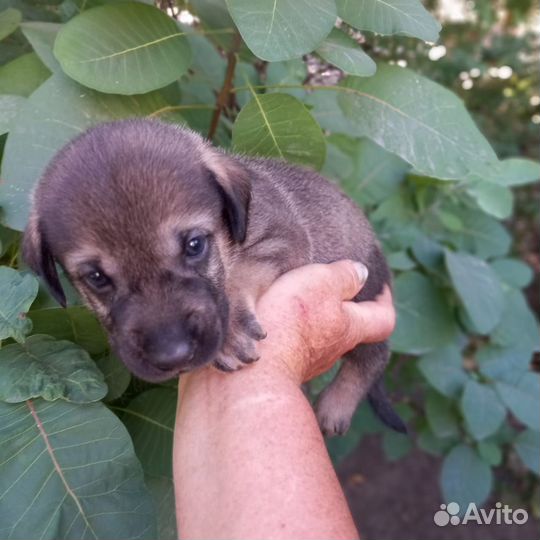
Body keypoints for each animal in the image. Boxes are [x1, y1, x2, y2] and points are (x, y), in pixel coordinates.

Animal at [24, 118, 404, 434]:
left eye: (195, 245)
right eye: (97, 278)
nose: (172, 355)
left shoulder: (284, 237)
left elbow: (241, 271)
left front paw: (232, 330)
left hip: (367, 289)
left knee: (375, 355)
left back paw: (337, 405)